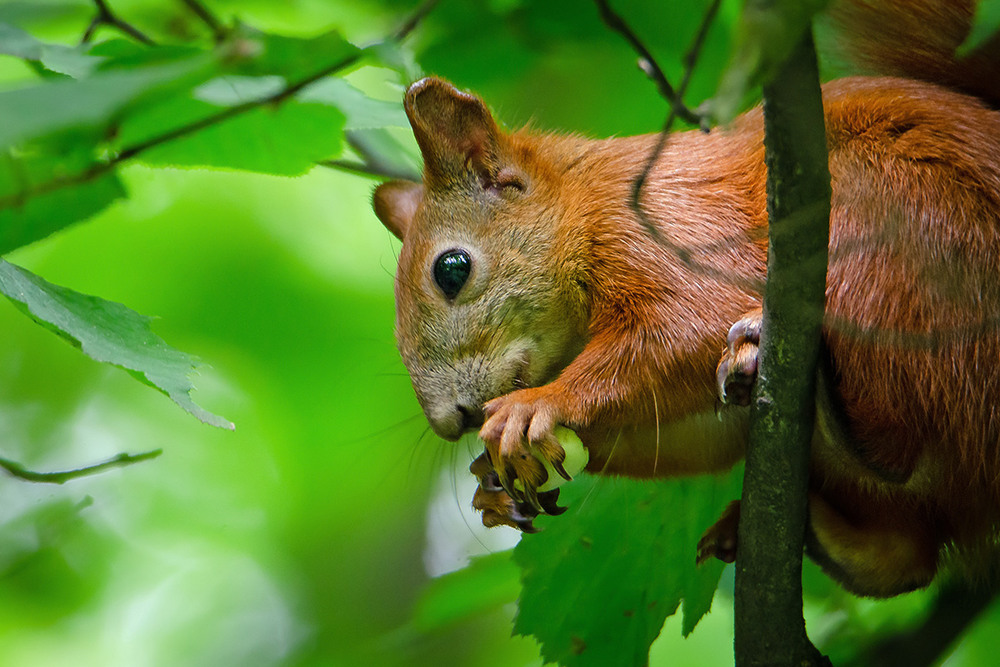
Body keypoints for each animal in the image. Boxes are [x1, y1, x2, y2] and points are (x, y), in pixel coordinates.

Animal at [372, 0, 1000, 596]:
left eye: (451, 269)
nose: (452, 421)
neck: (581, 203)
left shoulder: (672, 229)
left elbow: (689, 324)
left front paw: (537, 404)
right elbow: (693, 435)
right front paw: (492, 484)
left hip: (889, 228)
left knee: (896, 448)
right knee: (906, 556)